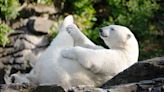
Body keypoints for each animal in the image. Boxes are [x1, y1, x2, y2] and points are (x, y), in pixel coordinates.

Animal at [10, 15, 138, 89]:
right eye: (110, 25)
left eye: (112, 28)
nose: (101, 30)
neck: (127, 52)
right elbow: (91, 45)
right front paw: (73, 30)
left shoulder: (118, 60)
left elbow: (95, 58)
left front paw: (67, 51)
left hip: (52, 57)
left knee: (62, 39)